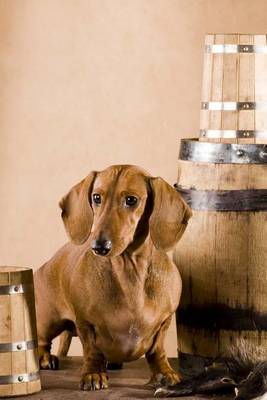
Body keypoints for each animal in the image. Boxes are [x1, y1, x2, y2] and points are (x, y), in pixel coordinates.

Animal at [34, 165, 193, 390]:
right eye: (96, 197)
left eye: (131, 200)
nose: (99, 246)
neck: (131, 273)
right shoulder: (85, 323)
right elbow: (91, 350)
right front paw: (93, 374)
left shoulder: (165, 321)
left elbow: (157, 350)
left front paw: (164, 372)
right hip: (49, 319)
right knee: (42, 341)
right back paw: (46, 358)